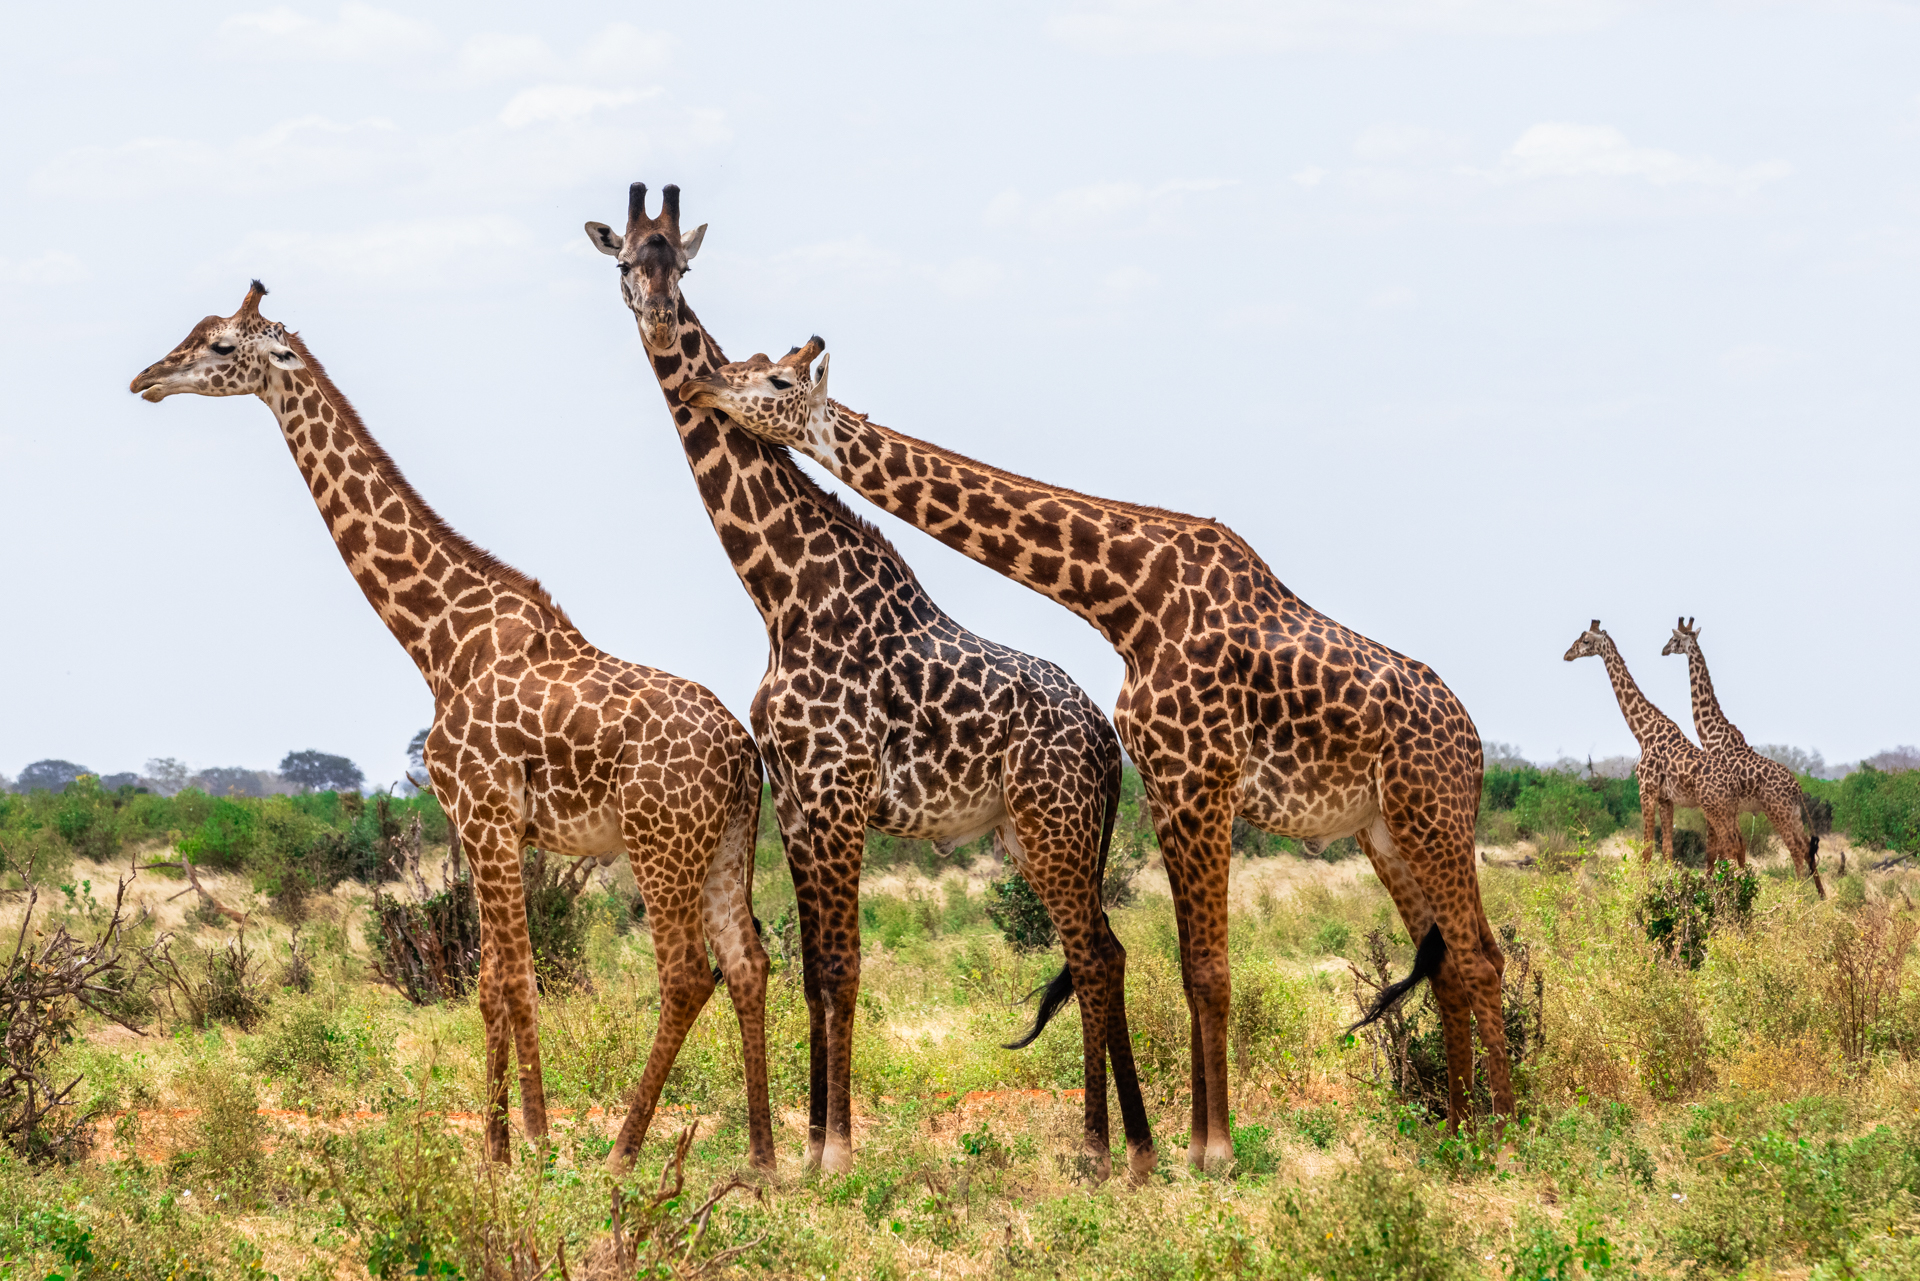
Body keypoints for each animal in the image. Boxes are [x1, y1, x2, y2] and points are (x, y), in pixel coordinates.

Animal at [129, 282, 775, 1171]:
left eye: (222, 347)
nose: (147, 379)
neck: (438, 640)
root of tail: (745, 754)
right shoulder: (475, 824)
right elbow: (488, 980)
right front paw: (496, 1149)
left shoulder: (487, 812)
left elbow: (516, 977)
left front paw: (535, 1141)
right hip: (726, 841)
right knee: (749, 962)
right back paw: (765, 1159)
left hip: (659, 840)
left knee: (685, 973)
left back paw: (623, 1150)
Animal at [584, 187, 1156, 1183]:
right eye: (624, 262)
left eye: (678, 263)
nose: (680, 357)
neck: (783, 596)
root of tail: (1103, 737)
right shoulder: (796, 799)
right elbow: (815, 969)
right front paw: (813, 1145)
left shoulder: (842, 794)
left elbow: (846, 965)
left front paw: (839, 1151)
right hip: (1035, 833)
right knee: (1105, 949)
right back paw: (1119, 1142)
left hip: (1055, 827)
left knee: (1094, 954)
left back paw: (1108, 1149)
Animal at [617, 300, 1508, 1162]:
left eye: (771, 378)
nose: (699, 387)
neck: (1128, 598)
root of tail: (1473, 742)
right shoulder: (1167, 786)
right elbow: (1191, 966)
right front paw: (1194, 1146)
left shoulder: (1199, 778)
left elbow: (1210, 969)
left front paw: (1213, 1152)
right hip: (1383, 831)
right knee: (1450, 960)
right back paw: (1458, 1129)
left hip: (1428, 815)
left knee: (1477, 954)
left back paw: (1506, 1132)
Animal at [1563, 620, 1708, 860]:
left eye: (1585, 640)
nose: (1567, 654)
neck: (1643, 732)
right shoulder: (1665, 798)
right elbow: (1667, 849)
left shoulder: (1646, 791)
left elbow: (1647, 849)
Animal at [1662, 618, 1825, 896]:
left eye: (1674, 639)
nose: (1662, 650)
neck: (1710, 734)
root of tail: (1797, 787)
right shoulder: (1729, 807)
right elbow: (1728, 849)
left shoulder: (1715, 802)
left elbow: (1715, 850)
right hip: (1792, 812)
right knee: (1807, 848)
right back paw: (1820, 896)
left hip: (1777, 810)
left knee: (1796, 848)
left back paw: (1797, 894)